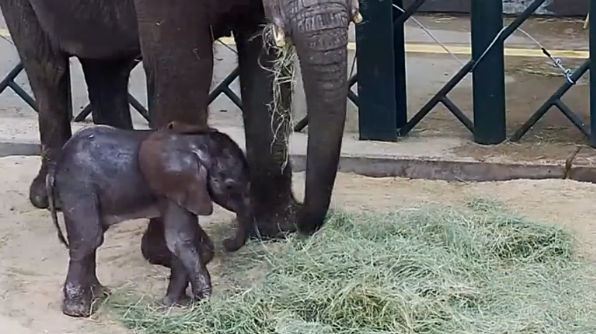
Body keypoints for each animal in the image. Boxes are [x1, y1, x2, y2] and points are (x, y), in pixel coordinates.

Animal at [0, 0, 360, 237]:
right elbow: (184, 63)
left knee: (108, 63)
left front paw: (274, 230)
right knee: (45, 65)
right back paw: (54, 195)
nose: (302, 220)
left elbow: (264, 61)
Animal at [45, 123, 253, 318]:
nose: (227, 242)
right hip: (78, 187)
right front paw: (206, 304)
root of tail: (55, 166)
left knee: (93, 240)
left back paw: (100, 295)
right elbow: (180, 240)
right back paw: (78, 310)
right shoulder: (175, 185)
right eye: (230, 186)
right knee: (89, 240)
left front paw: (176, 303)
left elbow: (182, 239)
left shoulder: (182, 191)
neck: (197, 145)